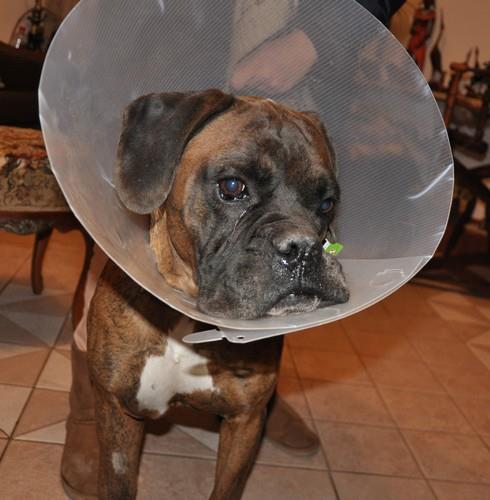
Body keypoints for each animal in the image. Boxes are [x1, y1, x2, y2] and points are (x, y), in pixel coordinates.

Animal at [87, 89, 348, 499]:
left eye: (327, 204)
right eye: (232, 187)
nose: (304, 247)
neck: (187, 316)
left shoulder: (245, 422)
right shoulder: (117, 411)